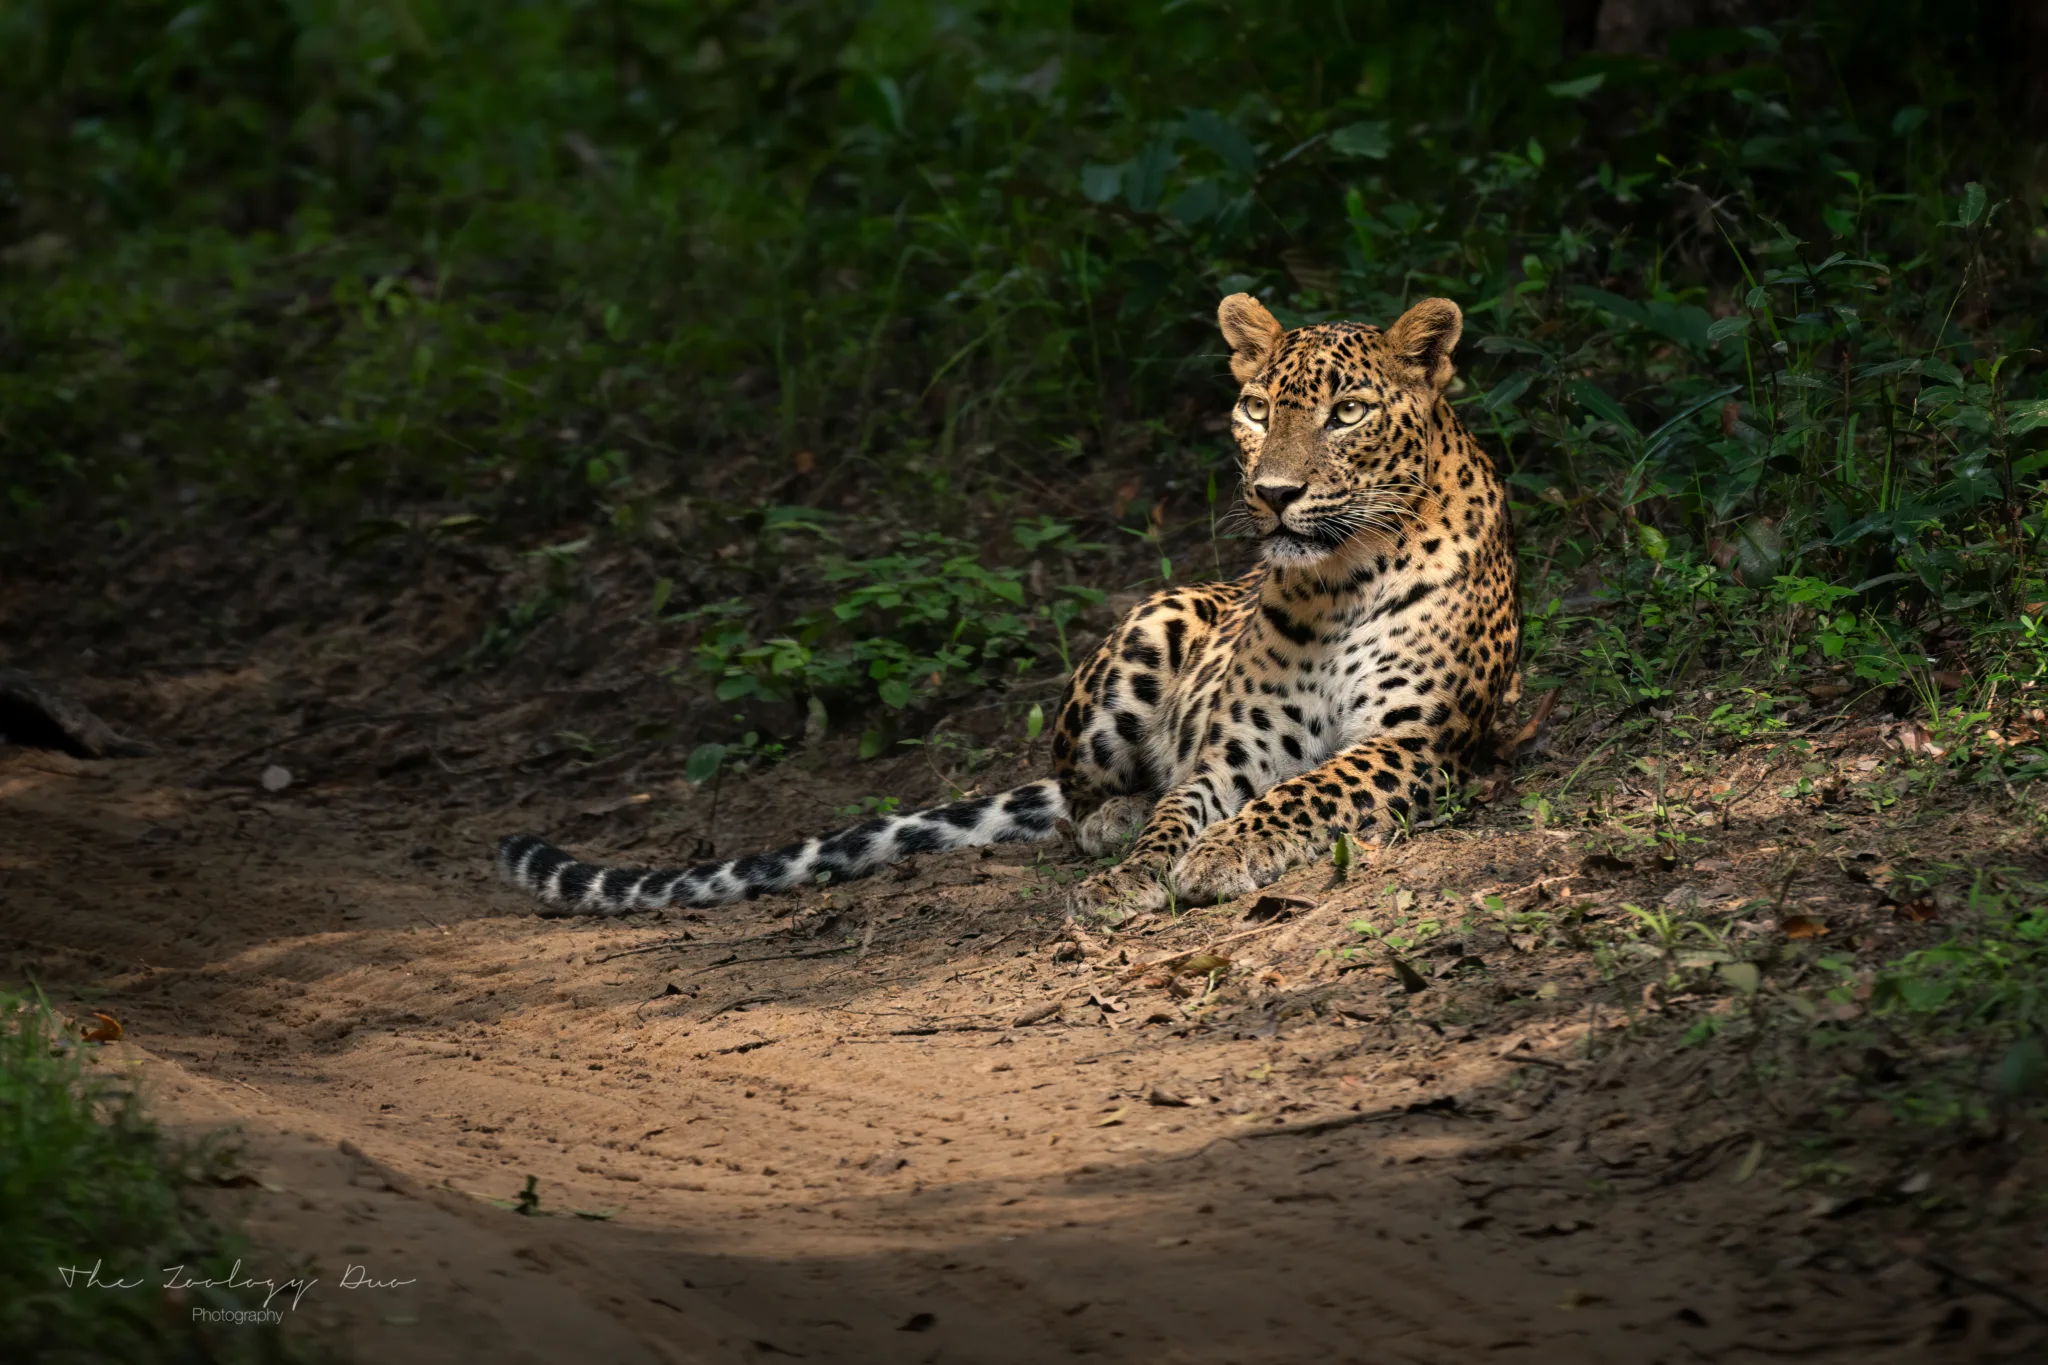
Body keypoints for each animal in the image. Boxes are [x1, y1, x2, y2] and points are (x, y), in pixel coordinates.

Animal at [494, 292, 1521, 918]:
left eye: (1348, 413)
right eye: (1259, 408)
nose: (1273, 494)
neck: (1339, 575)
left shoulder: (1413, 742)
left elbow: (1306, 791)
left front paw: (1223, 854)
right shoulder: (1236, 748)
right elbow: (1184, 804)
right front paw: (1144, 866)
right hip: (1147, 628)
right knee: (1078, 793)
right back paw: (1110, 822)